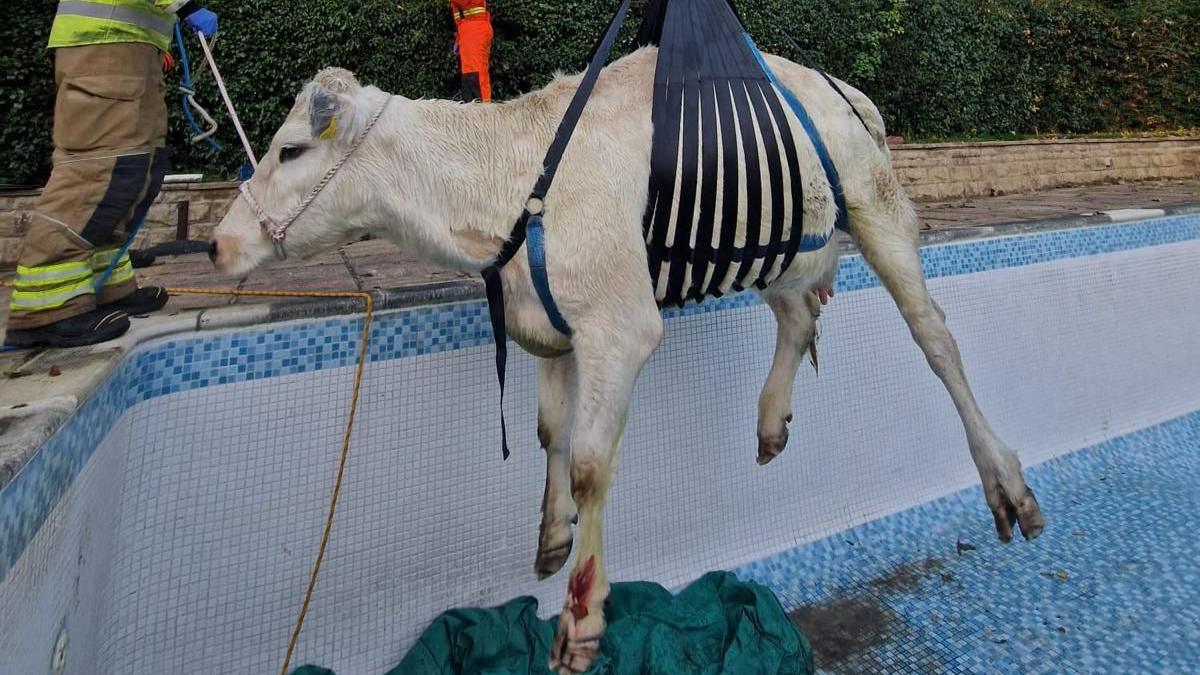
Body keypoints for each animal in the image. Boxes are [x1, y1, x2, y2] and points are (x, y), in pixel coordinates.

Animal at [213, 48, 1041, 672]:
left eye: (290, 149)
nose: (219, 243)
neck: (505, 185)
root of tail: (833, 81)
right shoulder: (548, 323)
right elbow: (550, 433)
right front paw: (551, 536)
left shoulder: (621, 325)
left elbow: (589, 462)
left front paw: (581, 616)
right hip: (775, 243)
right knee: (799, 313)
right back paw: (771, 420)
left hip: (876, 205)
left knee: (935, 336)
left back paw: (1006, 483)